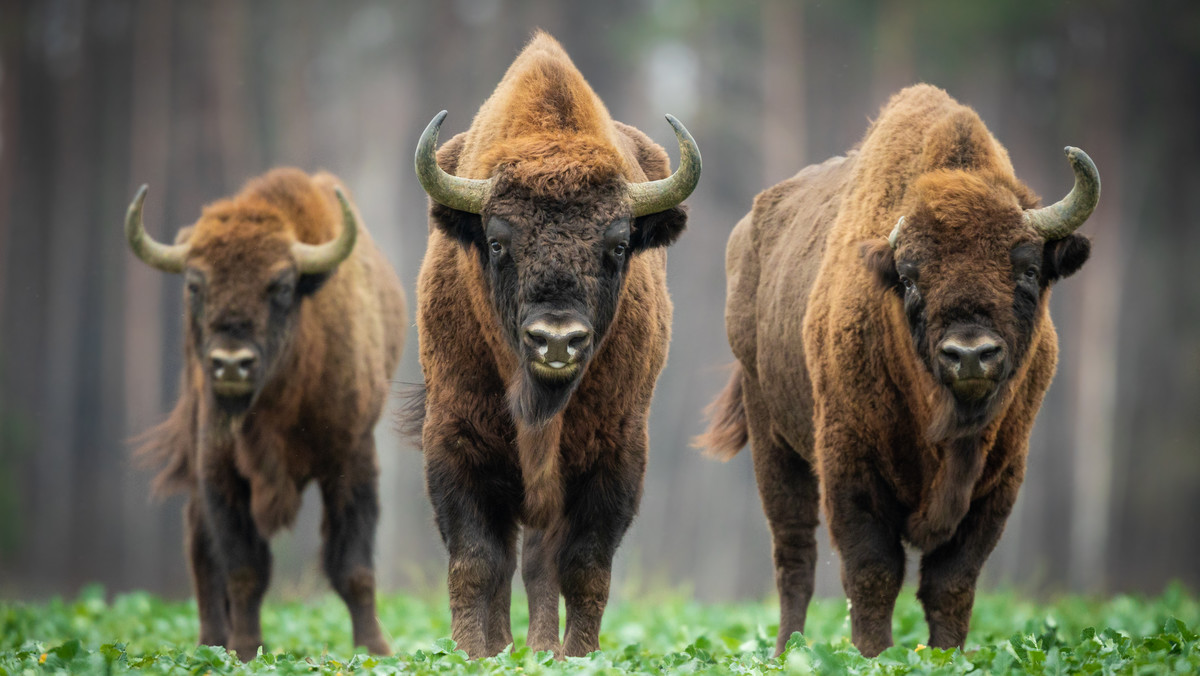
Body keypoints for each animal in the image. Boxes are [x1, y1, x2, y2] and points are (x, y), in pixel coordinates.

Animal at [129, 169, 405, 662]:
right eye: (195, 285)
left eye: (280, 286)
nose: (230, 364)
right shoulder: (219, 468)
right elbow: (244, 568)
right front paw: (244, 650)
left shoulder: (353, 458)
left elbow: (353, 566)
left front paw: (375, 650)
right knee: (201, 550)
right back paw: (210, 642)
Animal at [408, 33, 700, 662]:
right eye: (497, 242)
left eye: (619, 245)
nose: (557, 340)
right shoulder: (455, 439)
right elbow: (475, 563)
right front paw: (472, 655)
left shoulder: (616, 453)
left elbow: (584, 567)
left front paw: (576, 656)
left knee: (542, 564)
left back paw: (542, 648)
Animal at [700, 85, 1099, 662]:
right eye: (910, 278)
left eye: (1027, 268)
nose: (970, 354)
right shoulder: (850, 466)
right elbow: (873, 573)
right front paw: (873, 657)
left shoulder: (1000, 480)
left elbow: (952, 583)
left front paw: (947, 658)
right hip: (772, 438)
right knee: (794, 556)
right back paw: (787, 652)